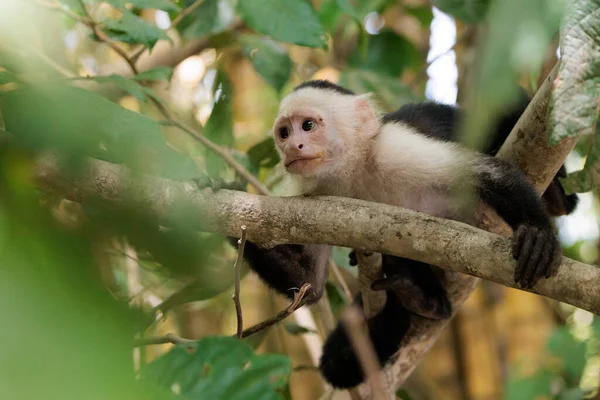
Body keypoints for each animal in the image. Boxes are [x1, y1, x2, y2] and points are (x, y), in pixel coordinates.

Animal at [216, 79, 576, 390]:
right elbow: (309, 283)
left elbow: (486, 174)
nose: (293, 147)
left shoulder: (394, 148)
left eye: (307, 126)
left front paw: (537, 234)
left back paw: (554, 198)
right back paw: (423, 298)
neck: (355, 170)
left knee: (510, 112)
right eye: (284, 132)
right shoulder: (313, 194)